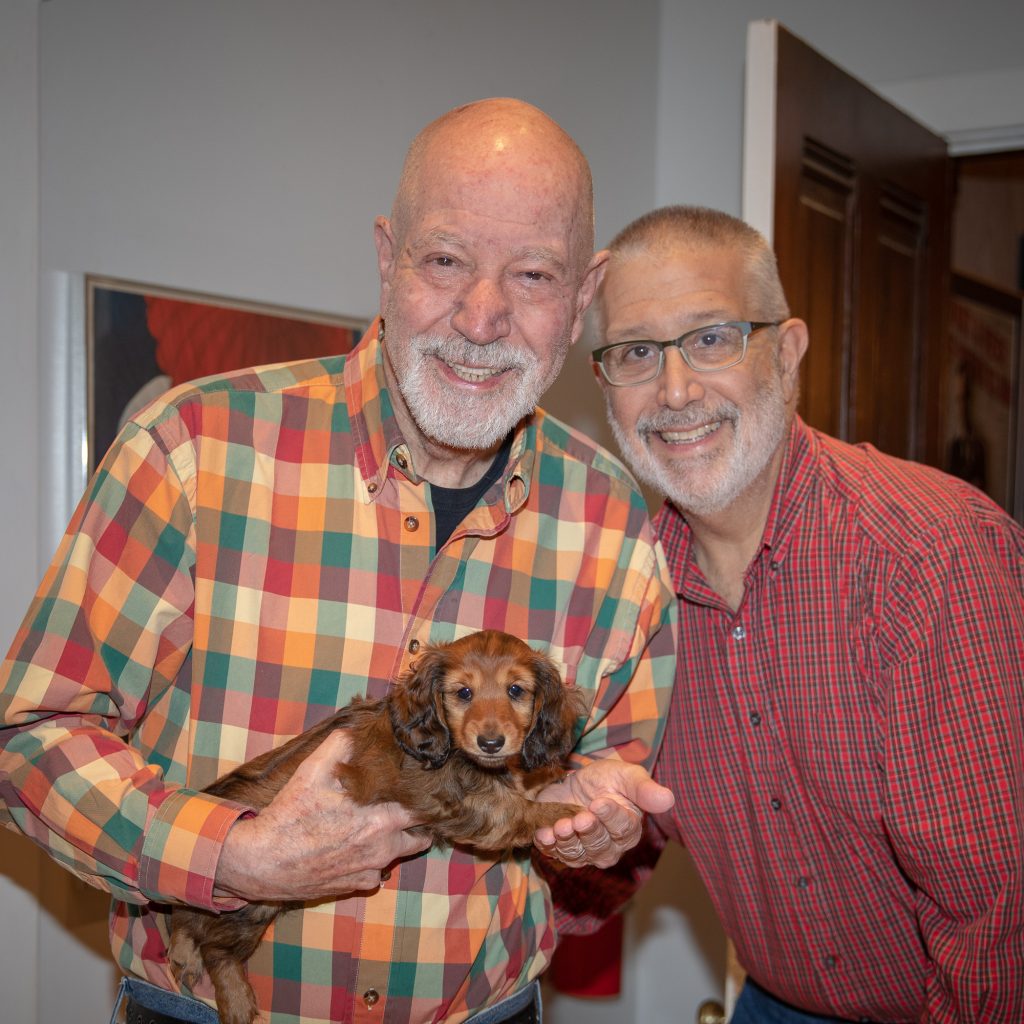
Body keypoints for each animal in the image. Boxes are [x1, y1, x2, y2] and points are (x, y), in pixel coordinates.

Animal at [167, 626, 585, 1024]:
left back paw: (182, 952)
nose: (491, 742)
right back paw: (235, 997)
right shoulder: (455, 798)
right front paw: (564, 811)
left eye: (516, 690)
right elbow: (516, 809)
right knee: (215, 948)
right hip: (253, 902)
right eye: (463, 692)